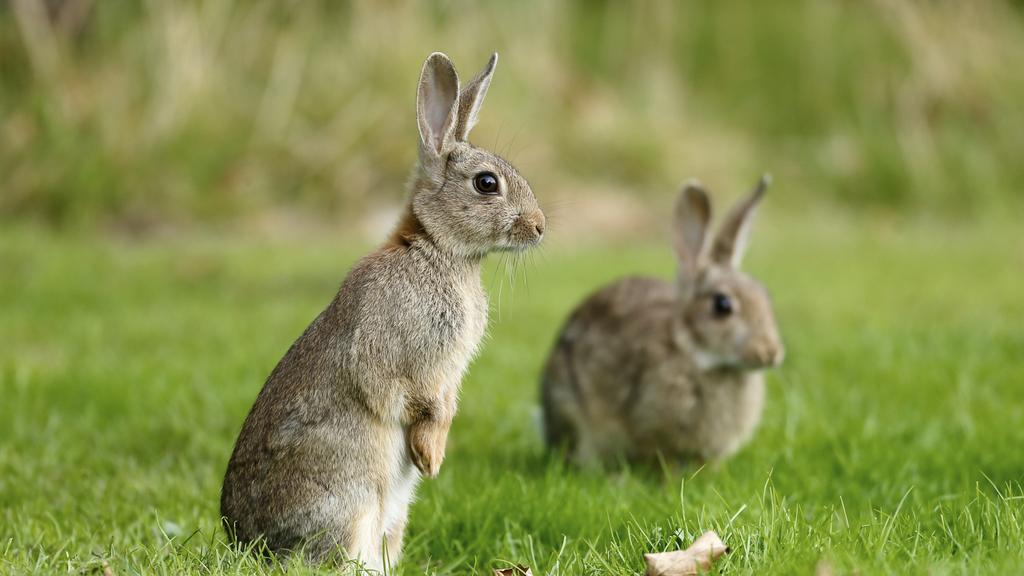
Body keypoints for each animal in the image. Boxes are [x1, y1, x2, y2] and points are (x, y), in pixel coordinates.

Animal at [220, 52, 545, 570]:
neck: (435, 249)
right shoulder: (400, 359)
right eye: (486, 183)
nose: (539, 227)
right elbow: (413, 400)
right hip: (350, 504)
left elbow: (445, 404)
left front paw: (432, 460)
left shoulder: (447, 375)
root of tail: (247, 544)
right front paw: (431, 458)